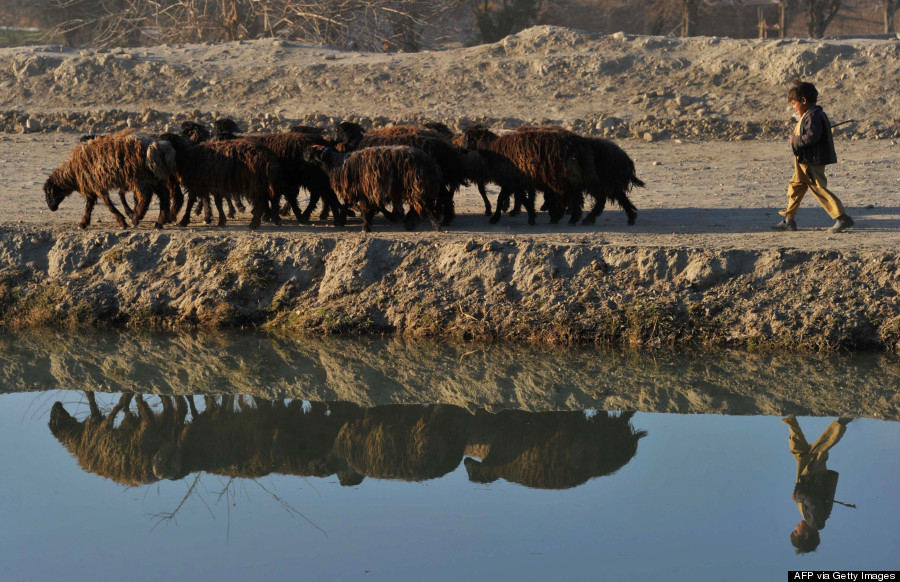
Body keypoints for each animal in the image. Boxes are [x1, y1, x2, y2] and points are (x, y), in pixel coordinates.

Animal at [44, 131, 177, 230]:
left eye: (49, 192)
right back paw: (159, 222)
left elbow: (108, 204)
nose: (51, 207)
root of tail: (155, 146)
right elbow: (89, 206)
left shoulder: (97, 185)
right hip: (155, 178)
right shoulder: (92, 186)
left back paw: (135, 219)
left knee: (145, 197)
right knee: (164, 196)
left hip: (140, 178)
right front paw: (83, 223)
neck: (72, 172)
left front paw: (122, 222)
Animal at [304, 145, 442, 234]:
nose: (304, 156)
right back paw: (410, 223)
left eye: (313, 151)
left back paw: (435, 225)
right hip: (415, 188)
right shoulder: (366, 191)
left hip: (415, 185)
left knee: (425, 206)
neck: (338, 164)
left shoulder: (362, 191)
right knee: (420, 206)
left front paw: (364, 227)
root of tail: (429, 162)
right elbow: (361, 206)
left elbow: (362, 208)